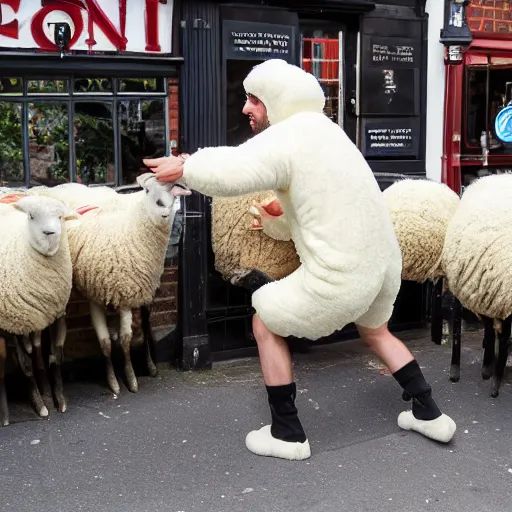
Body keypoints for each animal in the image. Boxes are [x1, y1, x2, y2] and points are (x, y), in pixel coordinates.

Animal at [0, 196, 75, 424]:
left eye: (60, 217)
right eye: (31, 216)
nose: (49, 233)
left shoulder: (56, 314)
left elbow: (55, 357)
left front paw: (58, 399)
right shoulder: (15, 323)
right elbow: (25, 366)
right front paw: (41, 405)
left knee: (36, 347)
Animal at [30, 174, 191, 394]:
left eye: (172, 189)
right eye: (147, 190)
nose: (163, 206)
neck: (130, 225)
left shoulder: (126, 292)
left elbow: (125, 339)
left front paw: (130, 377)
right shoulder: (95, 295)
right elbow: (105, 342)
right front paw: (113, 381)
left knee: (146, 322)